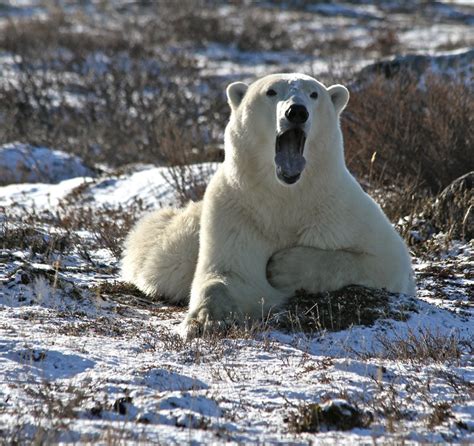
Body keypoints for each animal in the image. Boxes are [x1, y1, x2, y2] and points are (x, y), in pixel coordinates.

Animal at [122, 73, 414, 332]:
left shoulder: (342, 211)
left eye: (314, 94)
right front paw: (204, 321)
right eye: (271, 92)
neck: (286, 193)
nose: (296, 112)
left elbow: (382, 260)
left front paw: (282, 267)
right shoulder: (238, 212)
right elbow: (229, 275)